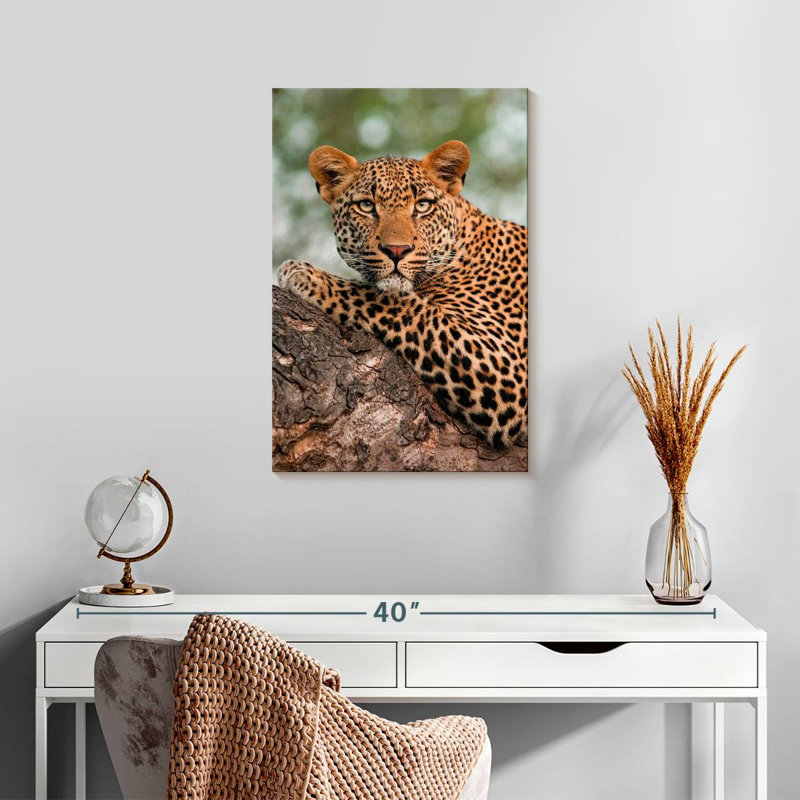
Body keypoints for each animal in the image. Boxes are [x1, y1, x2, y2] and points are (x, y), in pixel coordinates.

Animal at [278, 140, 528, 449]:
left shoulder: (504, 370)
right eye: (366, 206)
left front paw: (307, 275)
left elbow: (397, 304)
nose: (397, 250)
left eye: (422, 206)